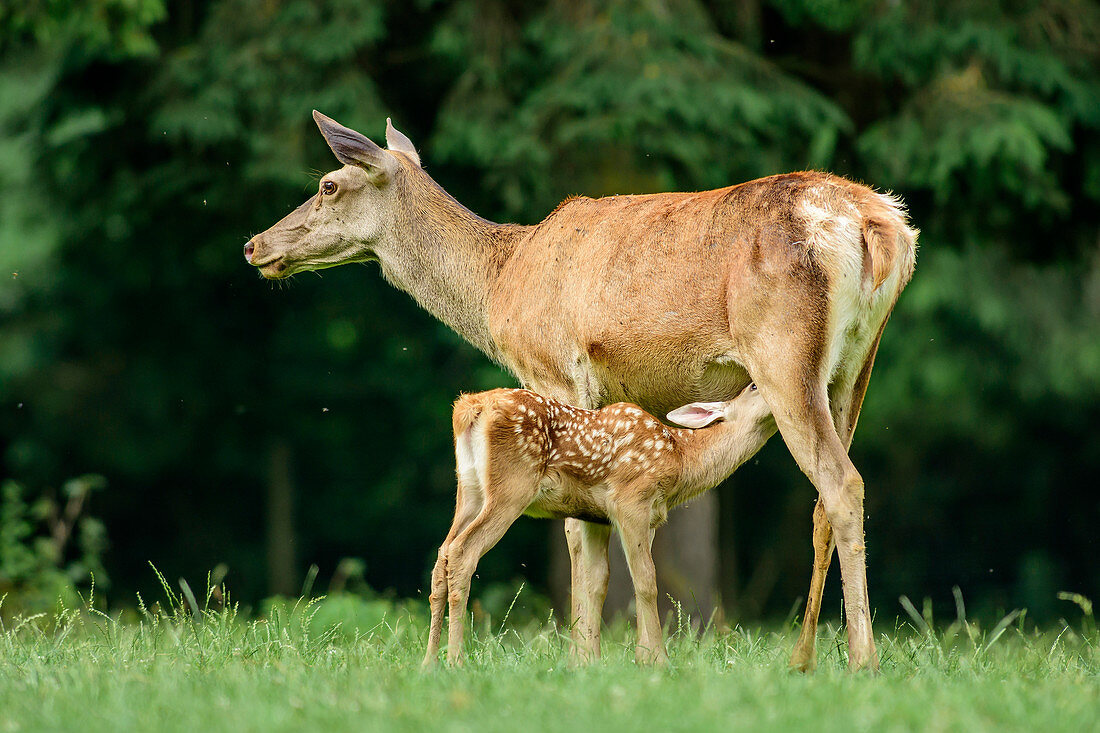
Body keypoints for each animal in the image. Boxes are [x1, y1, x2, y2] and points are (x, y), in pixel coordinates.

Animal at [247, 110, 919, 669]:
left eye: (328, 185)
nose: (255, 245)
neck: (498, 284)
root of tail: (881, 225)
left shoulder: (554, 368)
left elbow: (580, 536)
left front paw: (584, 656)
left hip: (782, 349)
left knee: (840, 481)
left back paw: (861, 659)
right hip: (856, 363)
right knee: (828, 496)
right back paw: (808, 656)